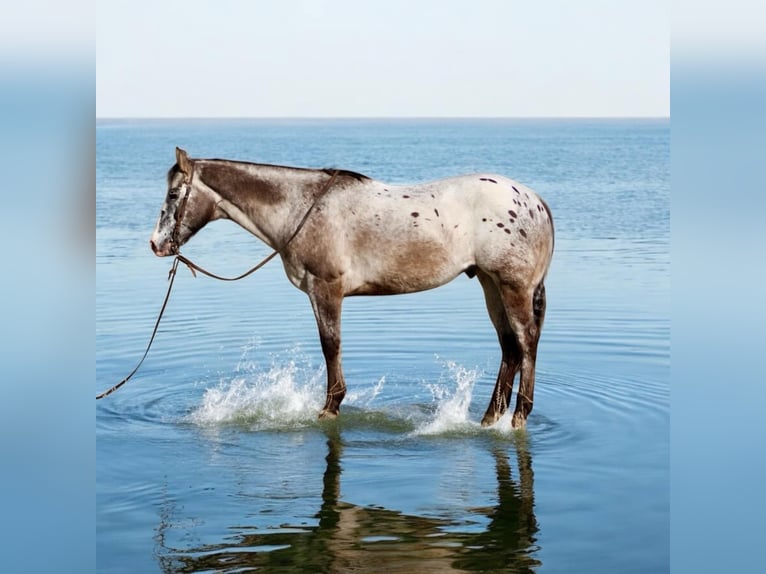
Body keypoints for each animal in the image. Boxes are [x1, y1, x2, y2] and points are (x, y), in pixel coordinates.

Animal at [150, 148, 554, 429]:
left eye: (173, 196)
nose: (157, 244)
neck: (302, 208)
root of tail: (534, 200)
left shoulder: (326, 288)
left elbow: (330, 345)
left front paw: (331, 407)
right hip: (490, 283)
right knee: (509, 346)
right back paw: (490, 418)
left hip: (513, 287)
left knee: (526, 341)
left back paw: (519, 416)